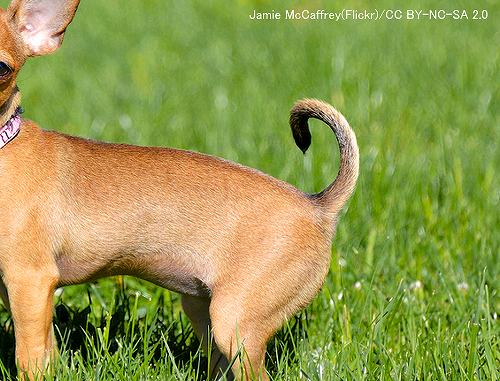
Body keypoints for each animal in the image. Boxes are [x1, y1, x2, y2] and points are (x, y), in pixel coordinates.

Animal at [0, 0, 360, 378]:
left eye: (2, 69)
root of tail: (317, 205)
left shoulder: (30, 281)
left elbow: (28, 356)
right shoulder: (16, 290)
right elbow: (46, 351)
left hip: (236, 323)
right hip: (204, 310)